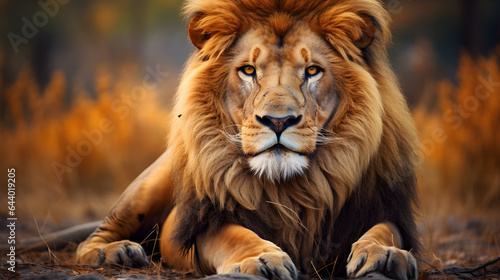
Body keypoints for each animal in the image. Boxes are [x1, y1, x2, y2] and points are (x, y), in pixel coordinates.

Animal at [77, 0, 422, 280]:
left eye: (312, 71)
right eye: (248, 70)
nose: (278, 121)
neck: (290, 190)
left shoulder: (383, 207)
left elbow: (385, 231)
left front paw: (384, 254)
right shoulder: (209, 221)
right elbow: (237, 236)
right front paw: (262, 258)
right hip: (148, 188)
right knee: (92, 238)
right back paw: (115, 251)